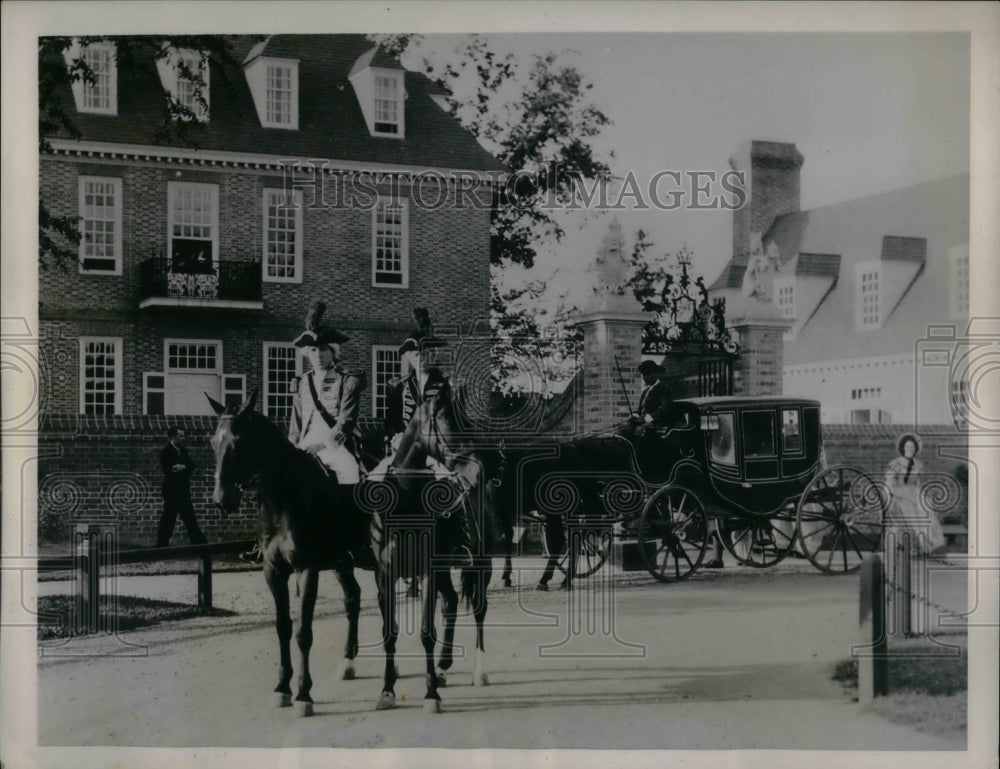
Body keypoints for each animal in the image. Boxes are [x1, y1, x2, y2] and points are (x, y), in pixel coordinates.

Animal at [208, 392, 472, 716]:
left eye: (240, 439)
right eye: (213, 441)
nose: (222, 499)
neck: (284, 497)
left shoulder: (306, 569)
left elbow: (303, 632)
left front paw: (303, 694)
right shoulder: (273, 571)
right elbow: (283, 627)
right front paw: (282, 687)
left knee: (448, 600)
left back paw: (442, 667)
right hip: (344, 564)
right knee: (354, 599)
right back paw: (353, 662)